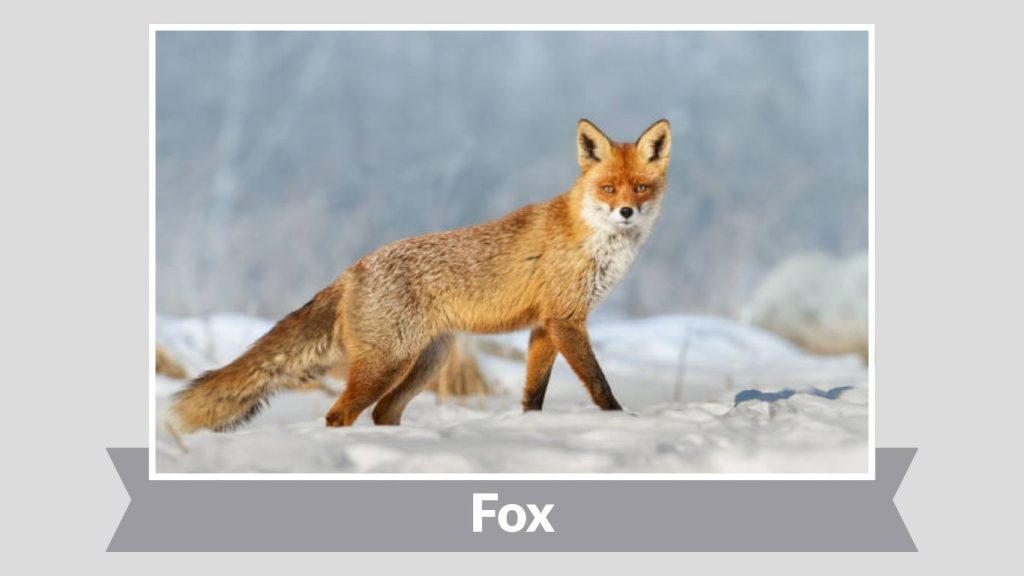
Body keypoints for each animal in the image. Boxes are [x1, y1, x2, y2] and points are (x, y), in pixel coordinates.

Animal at [170, 118, 671, 433]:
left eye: (641, 187)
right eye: (608, 188)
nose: (626, 212)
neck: (593, 239)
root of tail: (352, 269)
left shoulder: (545, 326)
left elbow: (534, 394)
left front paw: (531, 428)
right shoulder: (566, 319)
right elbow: (600, 383)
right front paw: (620, 421)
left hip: (426, 362)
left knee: (382, 414)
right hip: (387, 364)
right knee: (340, 414)